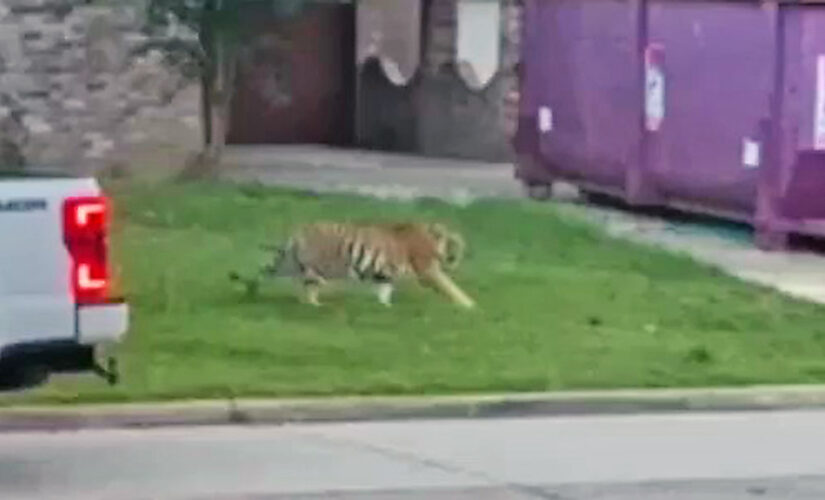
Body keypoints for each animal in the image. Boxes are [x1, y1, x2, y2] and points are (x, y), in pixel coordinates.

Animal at [230, 221, 476, 309]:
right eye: (457, 249)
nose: (454, 262)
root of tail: (299, 232)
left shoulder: (384, 275)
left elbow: (384, 290)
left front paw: (385, 307)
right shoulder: (428, 271)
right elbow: (450, 287)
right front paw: (469, 305)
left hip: (290, 263)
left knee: (265, 272)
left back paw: (252, 291)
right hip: (323, 266)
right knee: (308, 284)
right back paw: (315, 304)